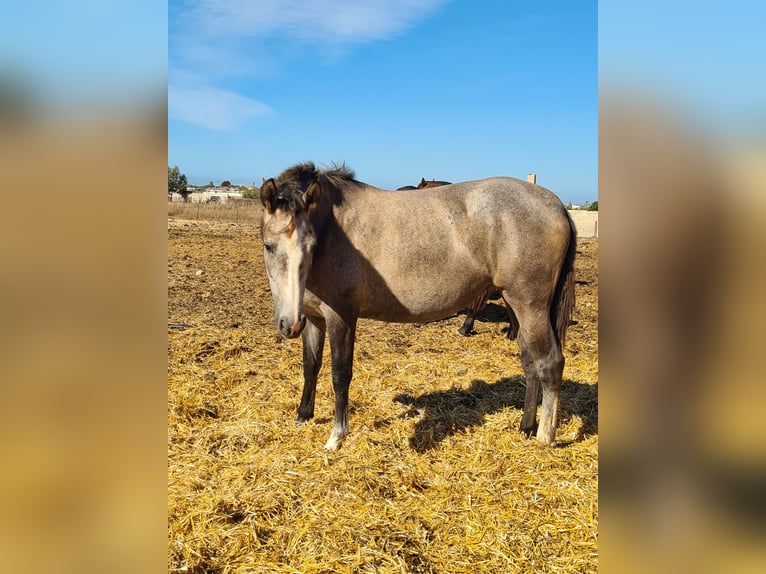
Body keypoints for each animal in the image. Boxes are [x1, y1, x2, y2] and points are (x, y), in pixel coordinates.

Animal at [260, 161, 576, 450]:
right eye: (268, 245)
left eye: (311, 246)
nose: (288, 324)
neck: (333, 229)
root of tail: (557, 205)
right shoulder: (314, 318)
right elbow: (311, 366)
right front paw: (303, 415)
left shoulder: (342, 317)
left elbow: (340, 374)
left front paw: (336, 436)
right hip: (520, 308)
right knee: (530, 362)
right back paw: (526, 426)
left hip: (530, 306)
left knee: (550, 362)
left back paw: (545, 436)